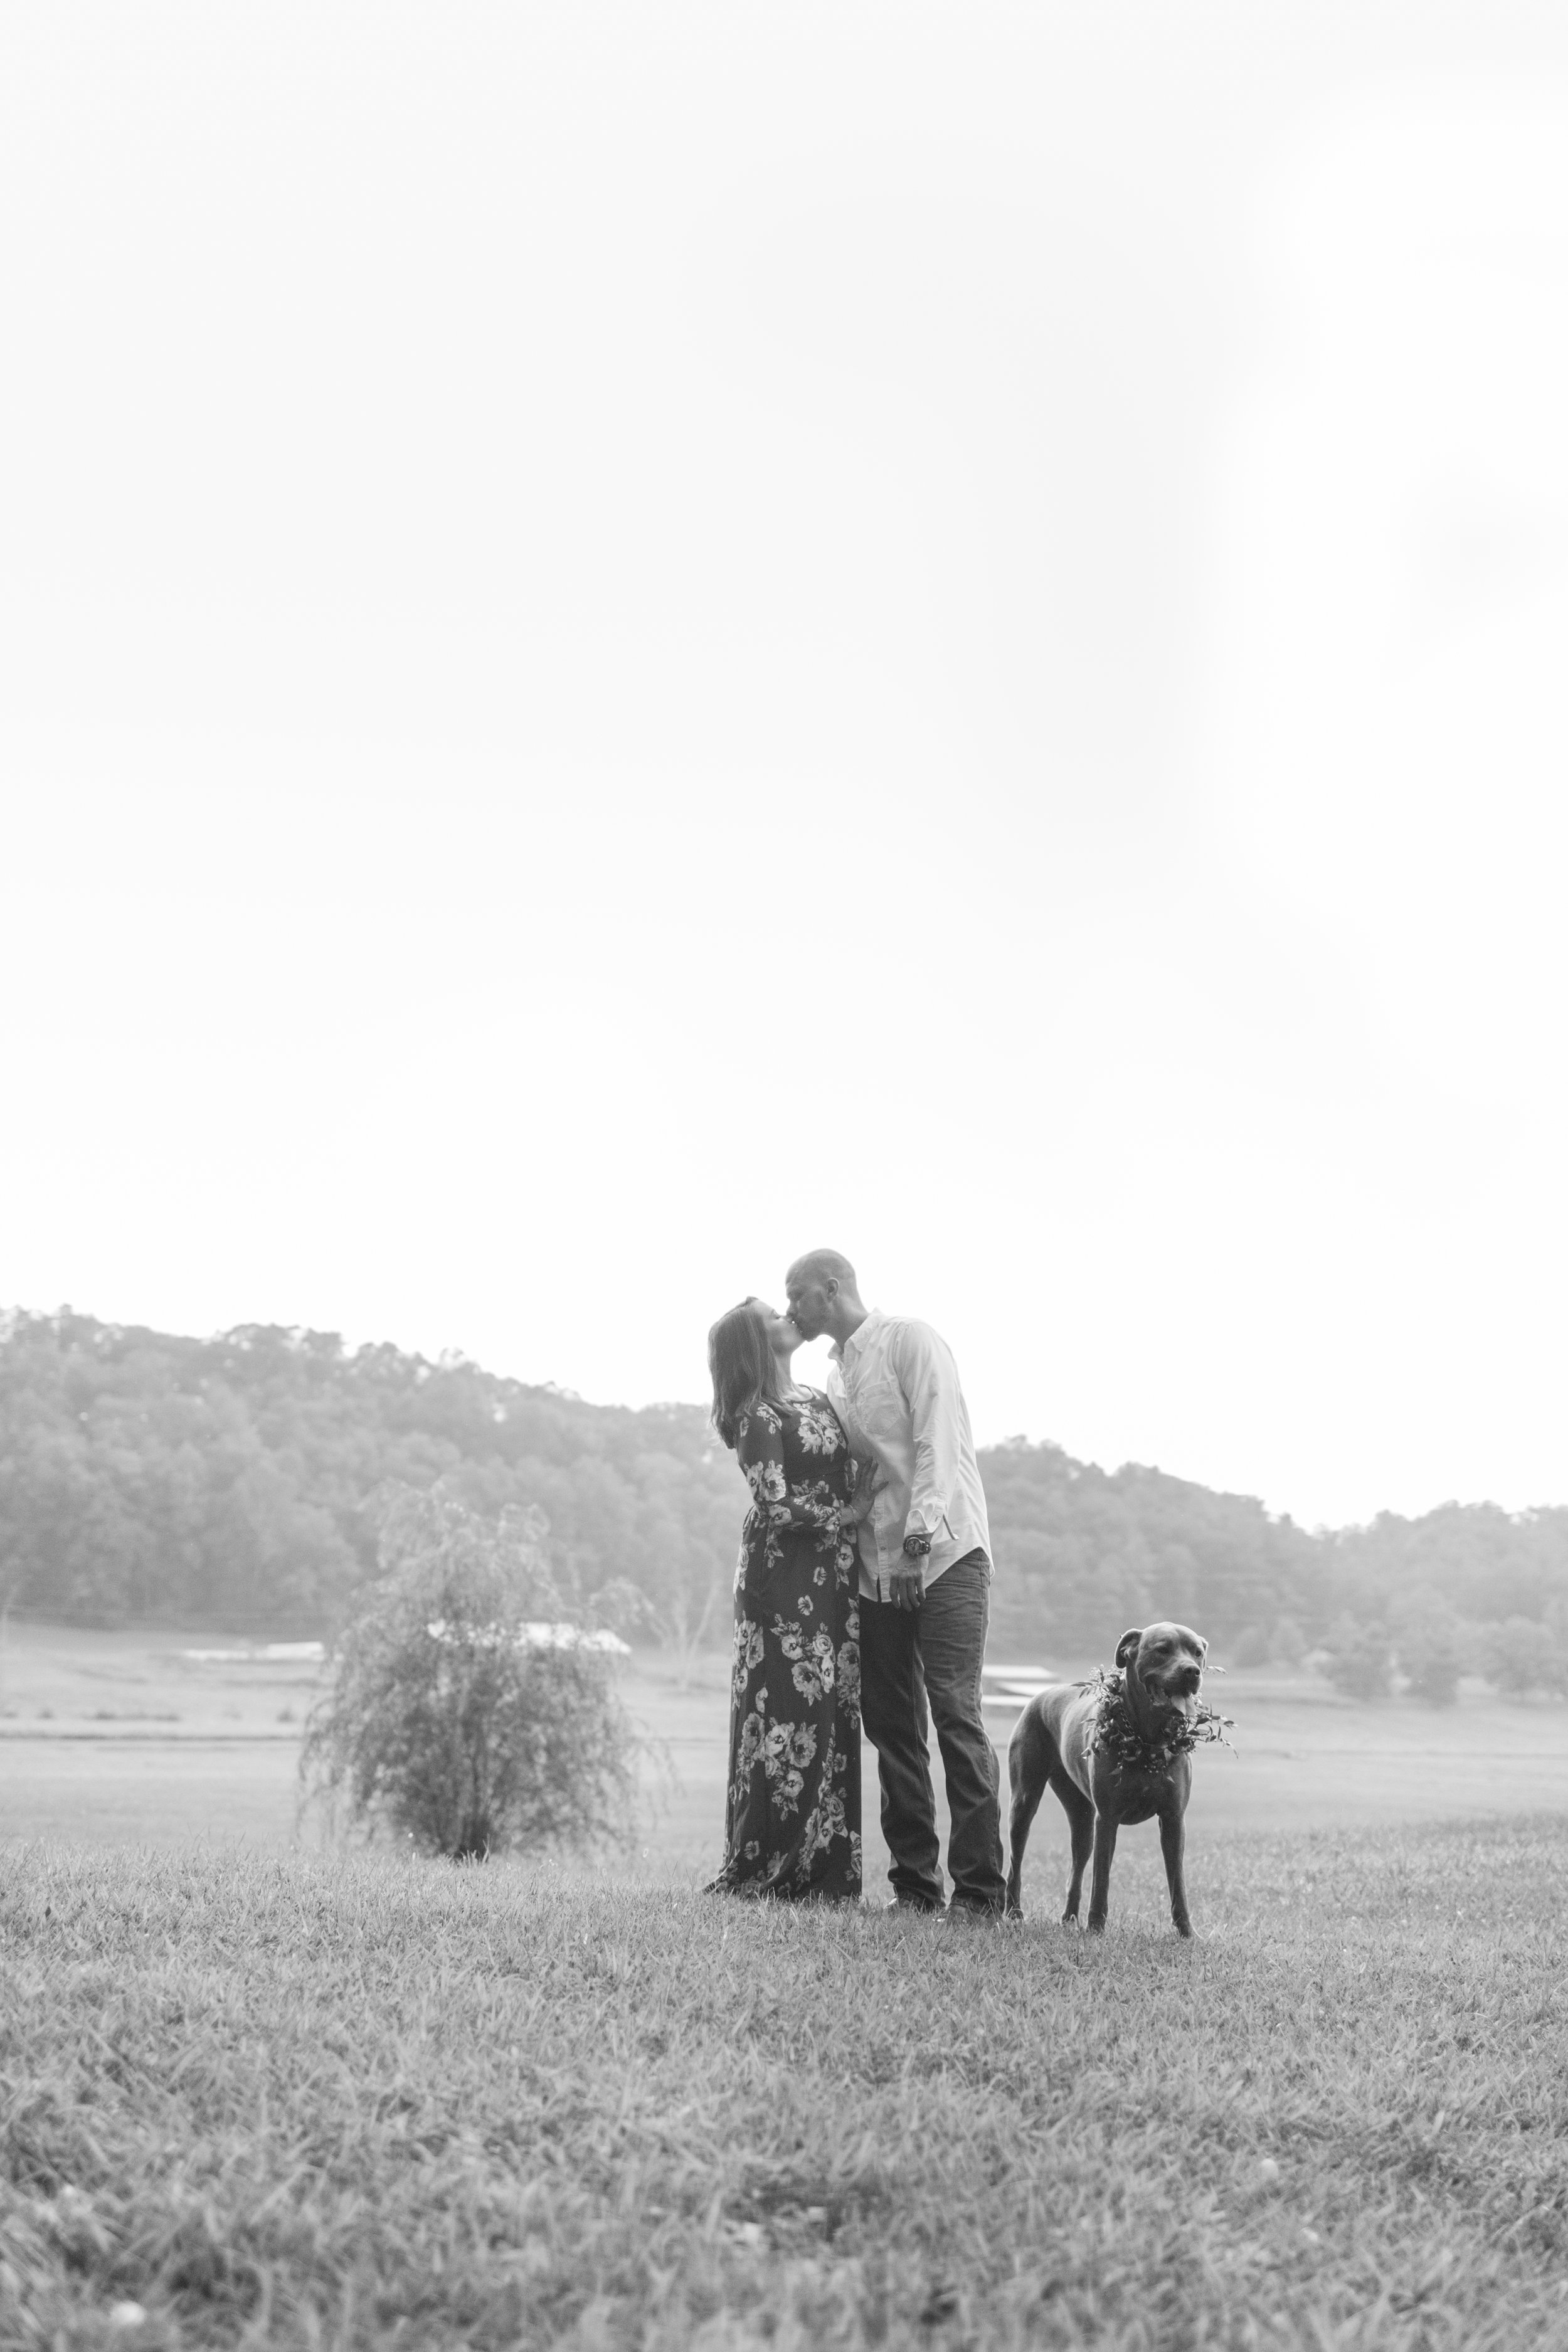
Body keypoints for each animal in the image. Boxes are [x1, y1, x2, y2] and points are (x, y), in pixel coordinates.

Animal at [1006, 1628, 1213, 1938]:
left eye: (1197, 1652)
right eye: (1163, 1650)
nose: (1192, 1671)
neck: (1146, 1740)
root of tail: (1040, 1695)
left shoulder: (1174, 1818)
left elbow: (1178, 1881)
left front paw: (1188, 1933)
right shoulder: (1108, 1817)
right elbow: (1101, 1878)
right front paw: (1096, 1929)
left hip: (1080, 1814)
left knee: (1077, 1866)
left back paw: (1069, 1919)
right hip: (1024, 1799)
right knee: (1016, 1860)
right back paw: (1014, 1913)